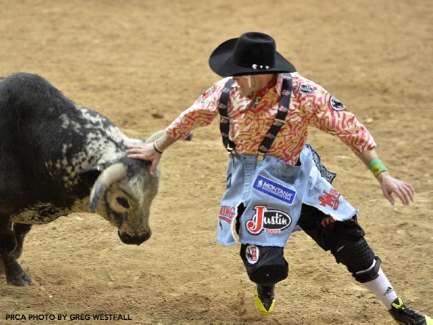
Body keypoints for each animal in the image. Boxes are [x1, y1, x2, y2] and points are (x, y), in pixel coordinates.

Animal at [0, 72, 160, 284]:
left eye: (152, 196)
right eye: (121, 200)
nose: (140, 236)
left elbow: (19, 234)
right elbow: (7, 243)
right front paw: (16, 276)